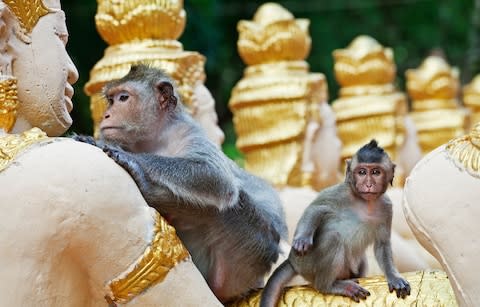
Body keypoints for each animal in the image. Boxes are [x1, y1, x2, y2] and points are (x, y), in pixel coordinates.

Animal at [73, 64, 286, 304]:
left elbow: (214, 176)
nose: (106, 115)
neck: (154, 139)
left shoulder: (189, 131)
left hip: (249, 253)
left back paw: (148, 189)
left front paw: (121, 154)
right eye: (110, 100)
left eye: (123, 98)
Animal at [260, 141, 410, 306]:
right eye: (362, 172)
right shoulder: (341, 192)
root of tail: (293, 261)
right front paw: (302, 239)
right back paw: (330, 286)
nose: (368, 184)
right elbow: (316, 208)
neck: (366, 202)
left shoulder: (386, 208)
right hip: (308, 265)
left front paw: (394, 277)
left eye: (376, 172)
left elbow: (382, 244)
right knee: (332, 238)